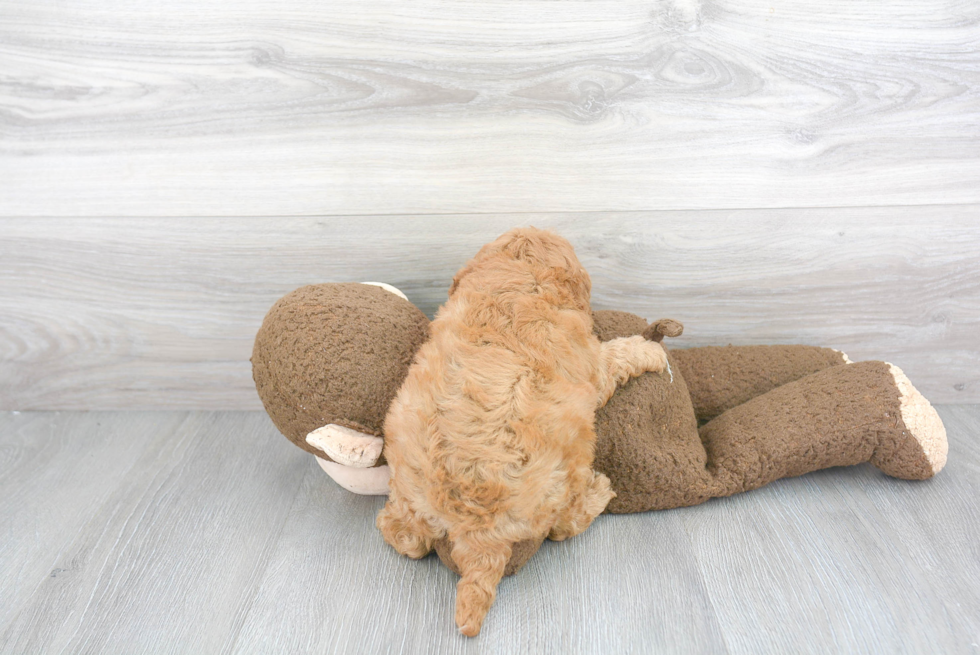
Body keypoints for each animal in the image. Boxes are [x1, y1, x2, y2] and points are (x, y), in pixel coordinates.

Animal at [376, 228, 668, 640]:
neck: (515, 282)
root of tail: (476, 531)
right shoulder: (592, 364)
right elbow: (618, 356)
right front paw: (651, 352)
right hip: (568, 468)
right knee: (564, 526)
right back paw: (599, 491)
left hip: (406, 483)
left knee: (406, 539)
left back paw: (396, 527)